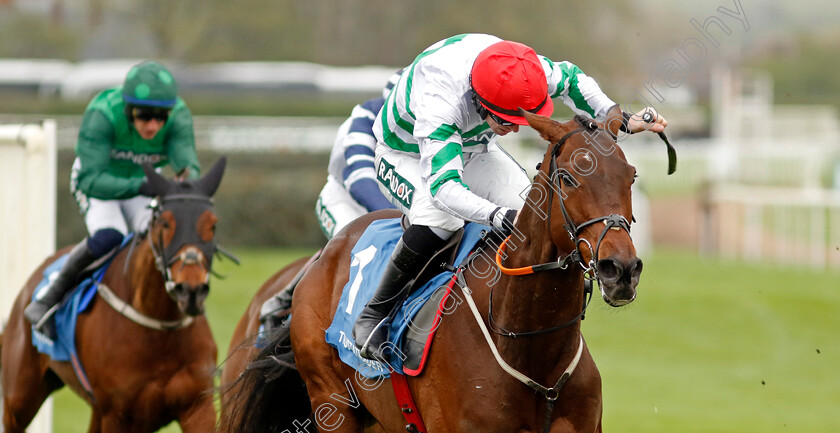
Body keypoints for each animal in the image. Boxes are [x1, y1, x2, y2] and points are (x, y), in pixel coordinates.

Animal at [0, 157, 226, 430]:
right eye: (165, 223)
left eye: (213, 224)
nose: (190, 291)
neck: (159, 329)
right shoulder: (117, 414)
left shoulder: (197, 406)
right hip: (19, 397)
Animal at [225, 112, 644, 433]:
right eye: (569, 178)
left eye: (632, 176)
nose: (620, 268)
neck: (528, 346)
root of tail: (325, 254)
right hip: (332, 402)